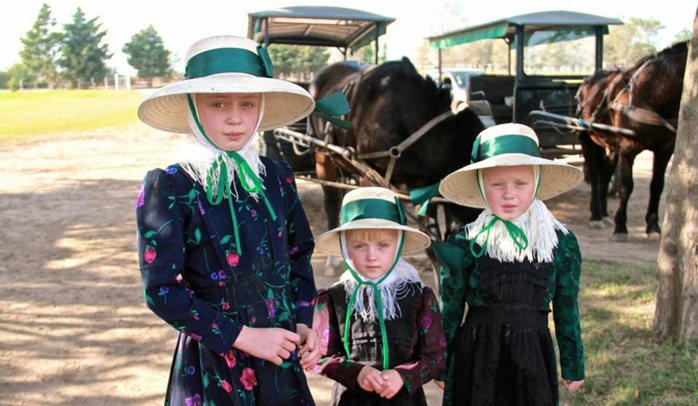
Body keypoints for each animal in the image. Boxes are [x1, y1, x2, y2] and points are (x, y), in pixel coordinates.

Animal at [576, 40, 684, 241]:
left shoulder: (665, 150)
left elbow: (657, 186)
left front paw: (653, 226)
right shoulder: (628, 148)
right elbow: (626, 186)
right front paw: (620, 227)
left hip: (611, 145)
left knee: (606, 173)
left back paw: (604, 213)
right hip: (587, 139)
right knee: (595, 174)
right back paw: (596, 215)